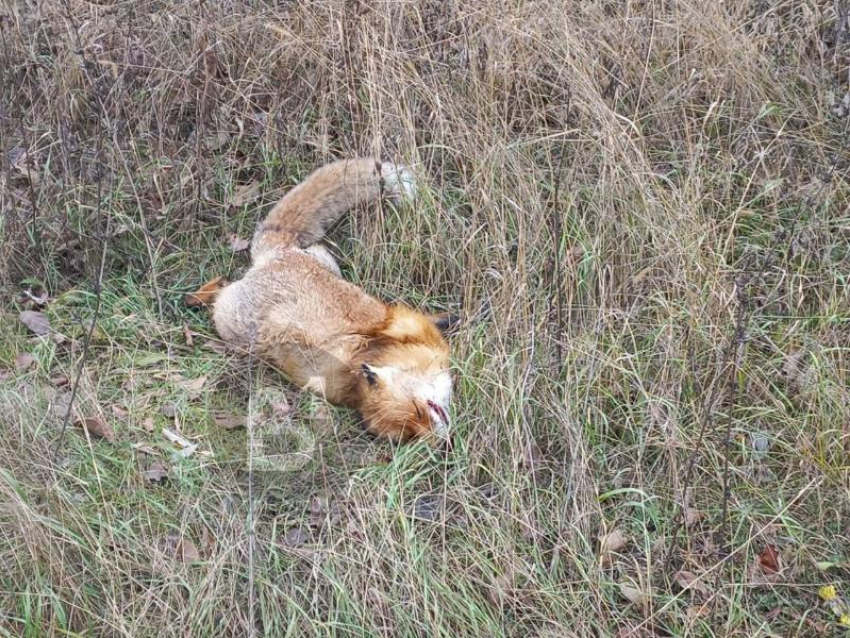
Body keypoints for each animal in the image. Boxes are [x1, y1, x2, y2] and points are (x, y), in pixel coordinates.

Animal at [185, 158, 450, 442]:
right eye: (413, 427)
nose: (442, 440)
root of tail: (276, 254)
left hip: (324, 261)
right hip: (232, 322)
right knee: (222, 290)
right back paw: (198, 296)